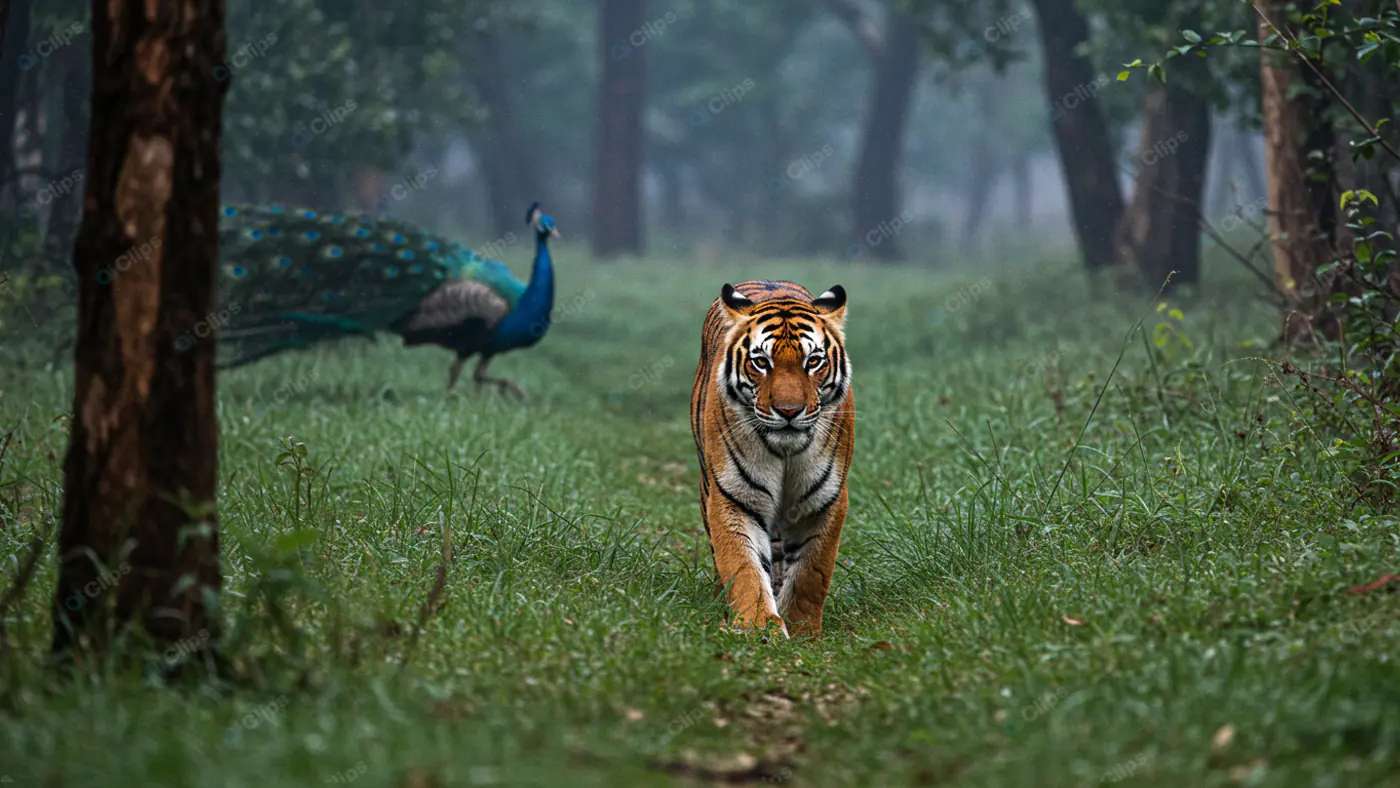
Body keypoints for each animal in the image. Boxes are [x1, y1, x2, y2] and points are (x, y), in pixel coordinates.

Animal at [689, 280, 854, 638]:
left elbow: (811, 572)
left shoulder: (825, 500)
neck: (786, 452)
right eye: (761, 362)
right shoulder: (734, 497)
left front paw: (803, 631)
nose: (789, 411)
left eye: (814, 361)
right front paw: (759, 628)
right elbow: (743, 566)